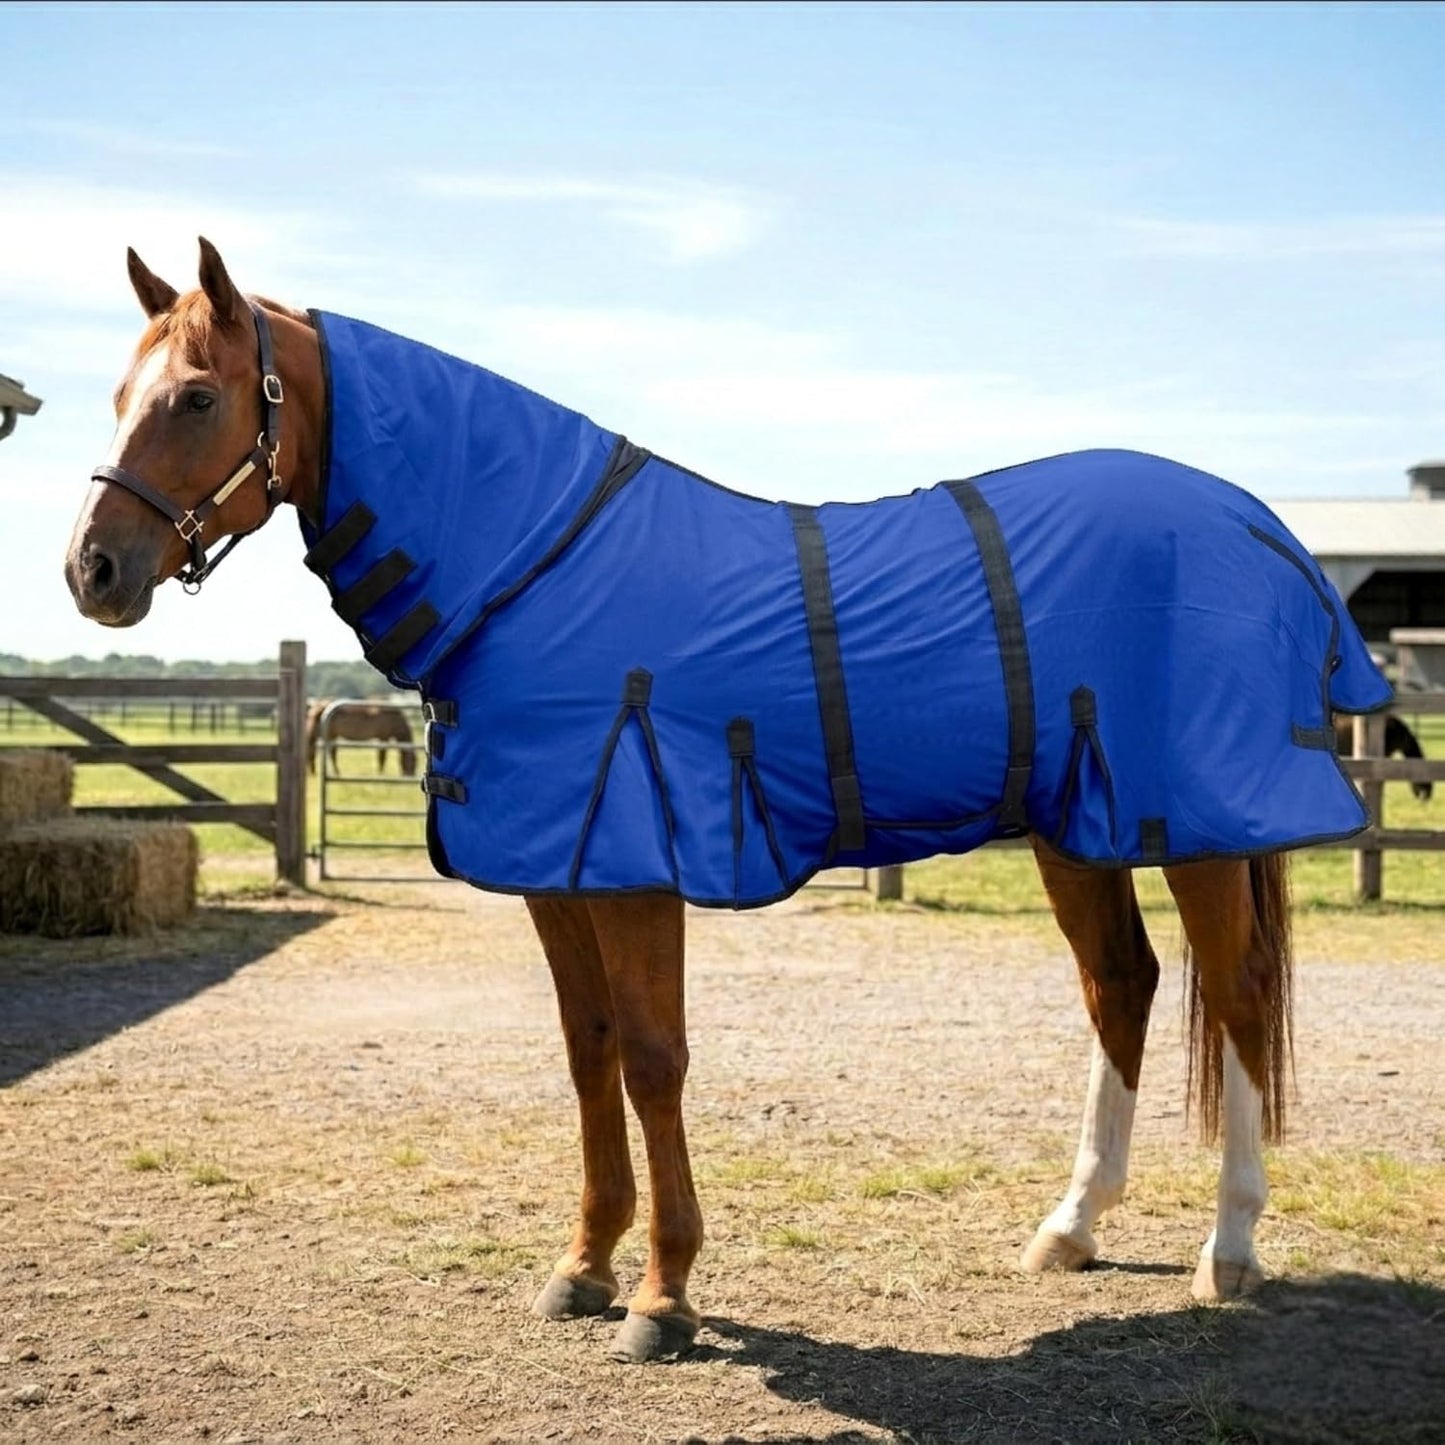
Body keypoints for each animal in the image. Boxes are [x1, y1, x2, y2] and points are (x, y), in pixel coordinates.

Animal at [63, 238, 1383, 1365]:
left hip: (1194, 824)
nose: (93, 569)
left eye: (195, 397)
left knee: (1238, 993)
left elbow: (653, 1061)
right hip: (1081, 826)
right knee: (1122, 984)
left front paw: (663, 1293)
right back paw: (1071, 1223)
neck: (538, 563)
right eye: (118, 392)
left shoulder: (636, 865)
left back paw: (1229, 1244)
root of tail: (1254, 524)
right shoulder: (558, 874)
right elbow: (587, 1056)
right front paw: (585, 1265)